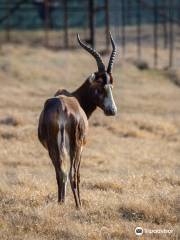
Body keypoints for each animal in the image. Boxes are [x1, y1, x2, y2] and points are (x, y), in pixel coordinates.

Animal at [37, 32, 116, 208]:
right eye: (99, 86)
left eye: (111, 86)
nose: (112, 110)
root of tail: (61, 107)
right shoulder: (82, 146)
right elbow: (78, 174)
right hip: (76, 146)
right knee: (72, 174)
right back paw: (78, 206)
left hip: (53, 147)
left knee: (60, 173)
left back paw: (61, 203)